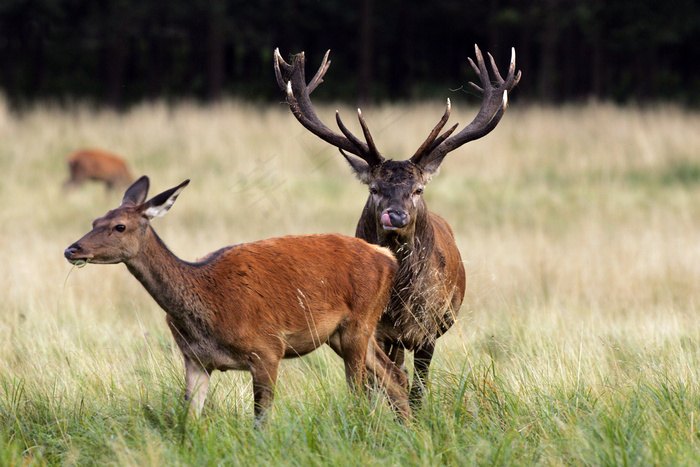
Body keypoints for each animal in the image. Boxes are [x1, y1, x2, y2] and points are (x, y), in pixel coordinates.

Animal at [65, 177, 410, 426]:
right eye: (95, 220)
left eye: (120, 226)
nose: (72, 249)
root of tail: (387, 257)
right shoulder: (195, 359)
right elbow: (188, 418)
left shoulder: (268, 349)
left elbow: (260, 421)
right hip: (343, 334)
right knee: (395, 375)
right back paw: (408, 431)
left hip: (359, 322)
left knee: (361, 391)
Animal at [274, 44, 520, 410]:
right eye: (374, 189)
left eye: (417, 190)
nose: (397, 216)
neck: (400, 302)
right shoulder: (373, 327)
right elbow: (369, 383)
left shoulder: (429, 325)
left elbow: (417, 387)